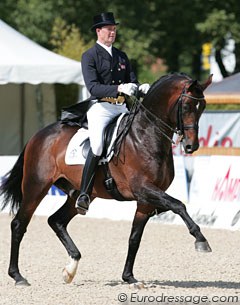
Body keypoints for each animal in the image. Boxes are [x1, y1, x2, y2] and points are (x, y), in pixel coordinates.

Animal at [1, 72, 212, 286]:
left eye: (202, 107)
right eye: (186, 106)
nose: (191, 146)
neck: (145, 136)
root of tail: (38, 136)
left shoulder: (145, 200)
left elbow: (135, 238)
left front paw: (129, 277)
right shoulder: (143, 188)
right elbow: (178, 205)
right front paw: (201, 240)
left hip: (79, 193)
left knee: (56, 221)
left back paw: (70, 268)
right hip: (36, 187)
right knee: (19, 224)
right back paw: (18, 276)